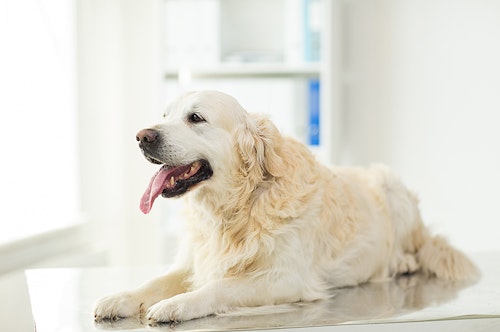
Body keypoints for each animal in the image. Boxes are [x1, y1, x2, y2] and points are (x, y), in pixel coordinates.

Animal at [93, 90, 476, 324]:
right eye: (164, 115)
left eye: (196, 118)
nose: (143, 136)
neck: (234, 209)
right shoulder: (193, 262)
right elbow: (154, 281)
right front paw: (120, 298)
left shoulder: (286, 278)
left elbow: (219, 287)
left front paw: (178, 304)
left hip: (392, 186)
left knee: (416, 247)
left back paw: (403, 261)